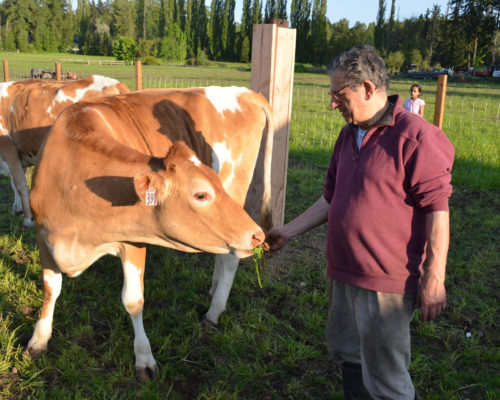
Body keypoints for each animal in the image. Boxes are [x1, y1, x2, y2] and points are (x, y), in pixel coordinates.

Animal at [0, 75, 131, 227]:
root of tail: (116, 83)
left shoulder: (8, 148)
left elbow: (20, 185)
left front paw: (27, 220)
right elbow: (14, 183)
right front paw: (17, 209)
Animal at [26, 87, 274, 382]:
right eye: (201, 194)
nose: (257, 235)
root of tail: (248, 92)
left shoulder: (133, 240)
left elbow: (133, 301)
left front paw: (144, 358)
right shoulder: (43, 235)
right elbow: (51, 289)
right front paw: (39, 339)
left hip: (237, 190)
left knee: (229, 259)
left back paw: (214, 311)